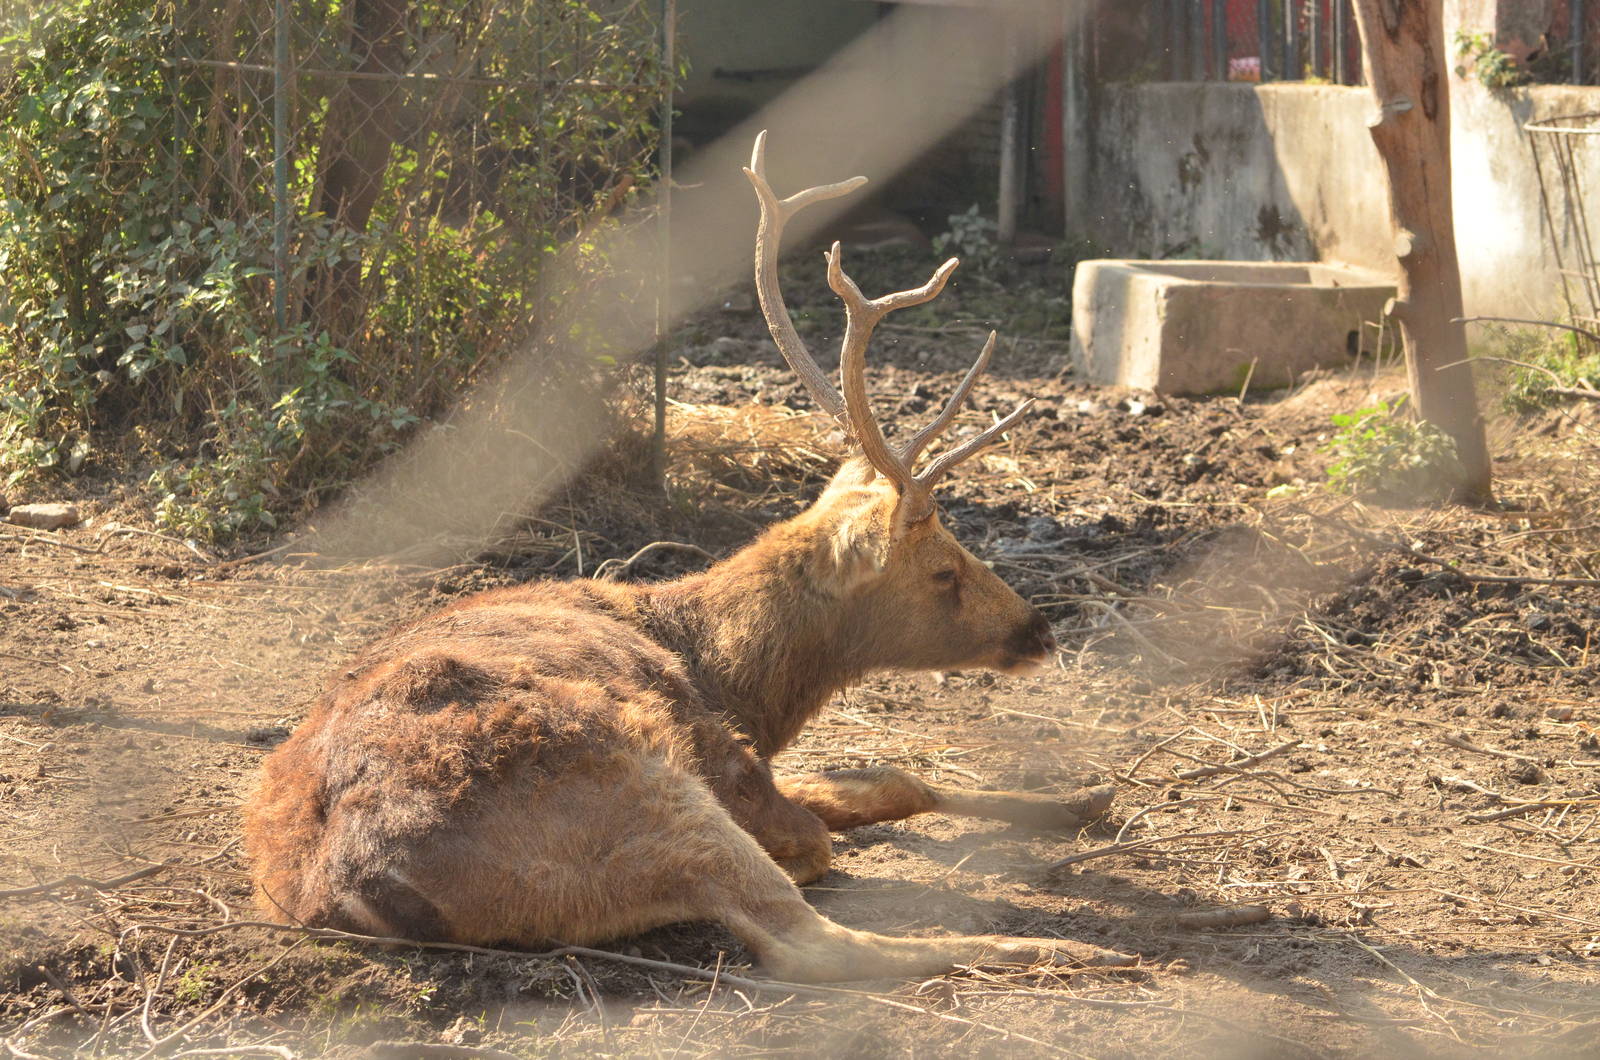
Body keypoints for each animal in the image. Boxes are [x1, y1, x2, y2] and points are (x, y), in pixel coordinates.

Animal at [243, 132, 1125, 984]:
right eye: (944, 569)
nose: (1040, 630)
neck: (729, 677)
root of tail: (357, 886)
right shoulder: (727, 758)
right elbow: (840, 817)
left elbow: (892, 778)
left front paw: (1086, 796)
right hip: (635, 775)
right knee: (807, 941)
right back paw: (1066, 953)